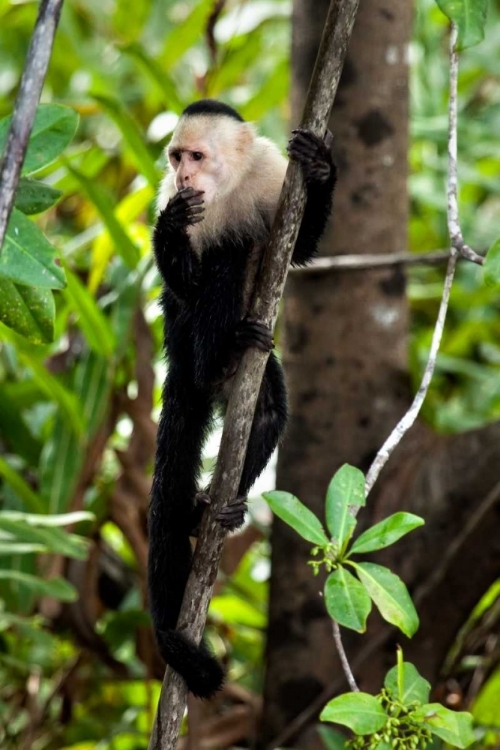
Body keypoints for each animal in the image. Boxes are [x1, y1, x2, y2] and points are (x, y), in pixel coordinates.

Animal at [148, 98, 336, 700]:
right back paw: (220, 354)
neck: (225, 189)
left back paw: (219, 508)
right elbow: (185, 282)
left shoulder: (271, 176)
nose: (185, 177)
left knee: (271, 410)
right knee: (223, 262)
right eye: (176, 158)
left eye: (195, 155)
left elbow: (300, 249)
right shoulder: (174, 199)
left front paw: (322, 168)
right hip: (184, 343)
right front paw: (169, 230)